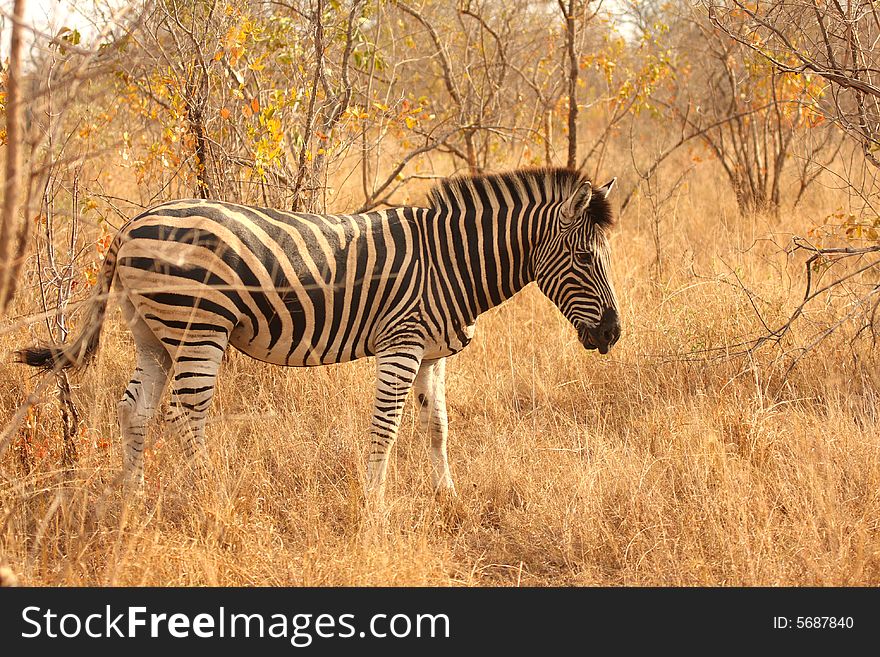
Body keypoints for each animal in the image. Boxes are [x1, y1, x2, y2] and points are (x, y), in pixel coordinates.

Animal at [18, 168, 620, 502]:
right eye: (584, 258)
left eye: (606, 257)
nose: (613, 335)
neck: (451, 262)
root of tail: (130, 226)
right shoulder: (402, 345)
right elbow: (386, 428)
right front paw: (375, 507)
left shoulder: (433, 354)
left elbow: (438, 426)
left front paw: (446, 495)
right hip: (197, 329)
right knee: (184, 414)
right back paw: (207, 495)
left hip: (151, 333)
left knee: (135, 409)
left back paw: (133, 496)